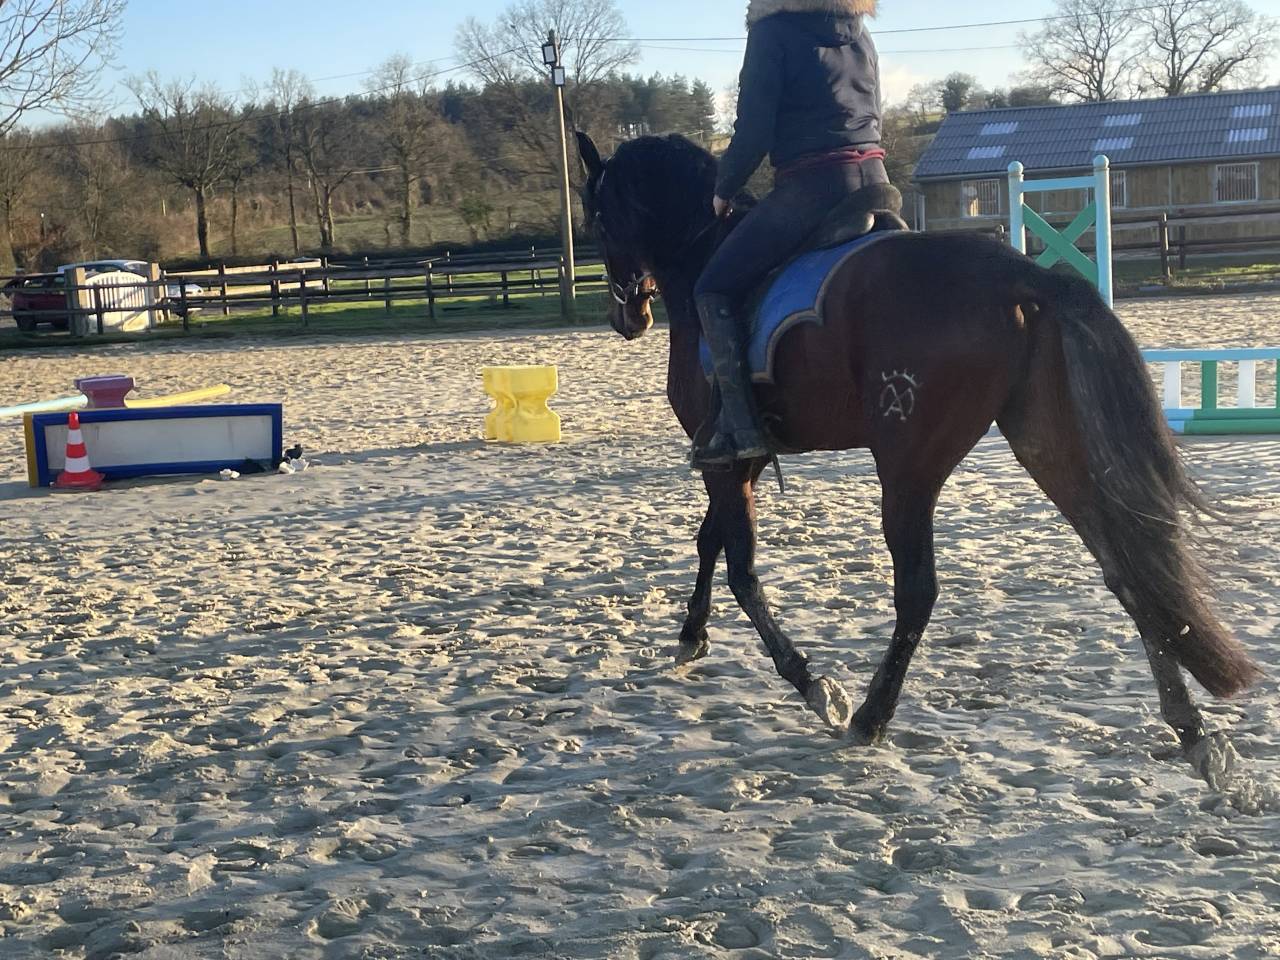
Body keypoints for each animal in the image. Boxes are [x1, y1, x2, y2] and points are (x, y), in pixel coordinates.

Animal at [574, 130, 1263, 778]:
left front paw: (812, 684)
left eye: (600, 220)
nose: (626, 316)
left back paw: (871, 715)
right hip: (1048, 444)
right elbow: (710, 542)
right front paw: (691, 637)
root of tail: (1024, 277)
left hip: (908, 465)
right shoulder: (738, 460)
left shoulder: (725, 458)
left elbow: (741, 570)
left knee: (918, 590)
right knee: (1124, 566)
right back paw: (1193, 732)